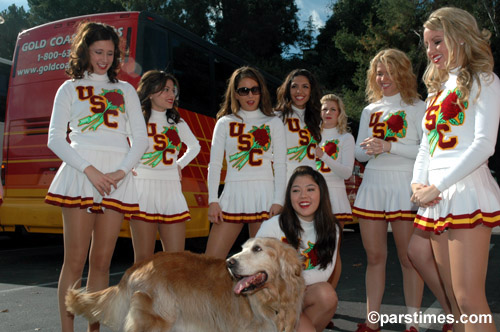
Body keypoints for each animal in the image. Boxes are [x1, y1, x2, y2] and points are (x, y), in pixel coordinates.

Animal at [66, 237, 304, 332]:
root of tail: (137, 265)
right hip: (157, 320)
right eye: (243, 248)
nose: (229, 262)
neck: (273, 299)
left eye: (257, 249)